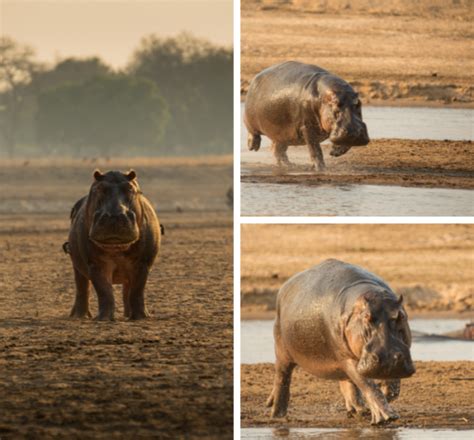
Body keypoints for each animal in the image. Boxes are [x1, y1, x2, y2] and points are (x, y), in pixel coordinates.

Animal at [65, 170, 162, 322]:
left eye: (130, 188)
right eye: (99, 188)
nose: (114, 216)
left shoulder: (143, 263)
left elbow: (137, 290)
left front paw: (141, 317)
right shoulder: (95, 264)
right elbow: (104, 291)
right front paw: (103, 318)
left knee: (128, 289)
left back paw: (129, 315)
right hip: (77, 264)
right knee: (82, 286)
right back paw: (79, 316)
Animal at [266, 260, 414, 424]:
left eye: (401, 316)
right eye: (366, 316)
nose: (388, 359)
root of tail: (284, 288)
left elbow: (391, 388)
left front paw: (381, 398)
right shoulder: (347, 358)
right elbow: (367, 384)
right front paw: (386, 417)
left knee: (347, 383)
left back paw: (357, 410)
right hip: (282, 353)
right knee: (282, 380)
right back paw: (277, 416)